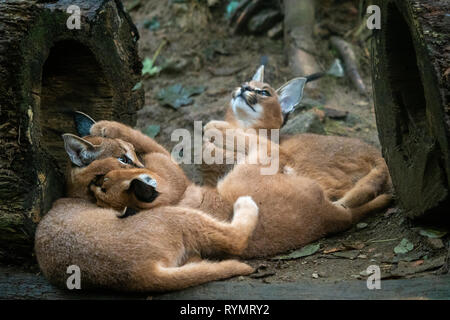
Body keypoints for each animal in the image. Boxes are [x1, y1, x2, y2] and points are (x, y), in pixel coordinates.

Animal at [34, 115, 260, 292]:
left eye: (132, 153)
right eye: (123, 158)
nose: (141, 165)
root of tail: (138, 274)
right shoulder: (170, 171)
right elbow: (151, 143)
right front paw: (105, 126)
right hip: (174, 215)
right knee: (234, 238)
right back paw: (246, 204)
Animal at [83, 116, 390, 258]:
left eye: (104, 178)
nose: (94, 182)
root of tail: (327, 218)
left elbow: (143, 139)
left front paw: (103, 128)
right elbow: (146, 139)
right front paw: (106, 128)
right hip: (251, 170)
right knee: (266, 145)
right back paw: (216, 129)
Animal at [202, 65, 392, 210]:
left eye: (264, 92)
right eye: (245, 83)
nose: (243, 88)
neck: (242, 123)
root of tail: (377, 152)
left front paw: (214, 127)